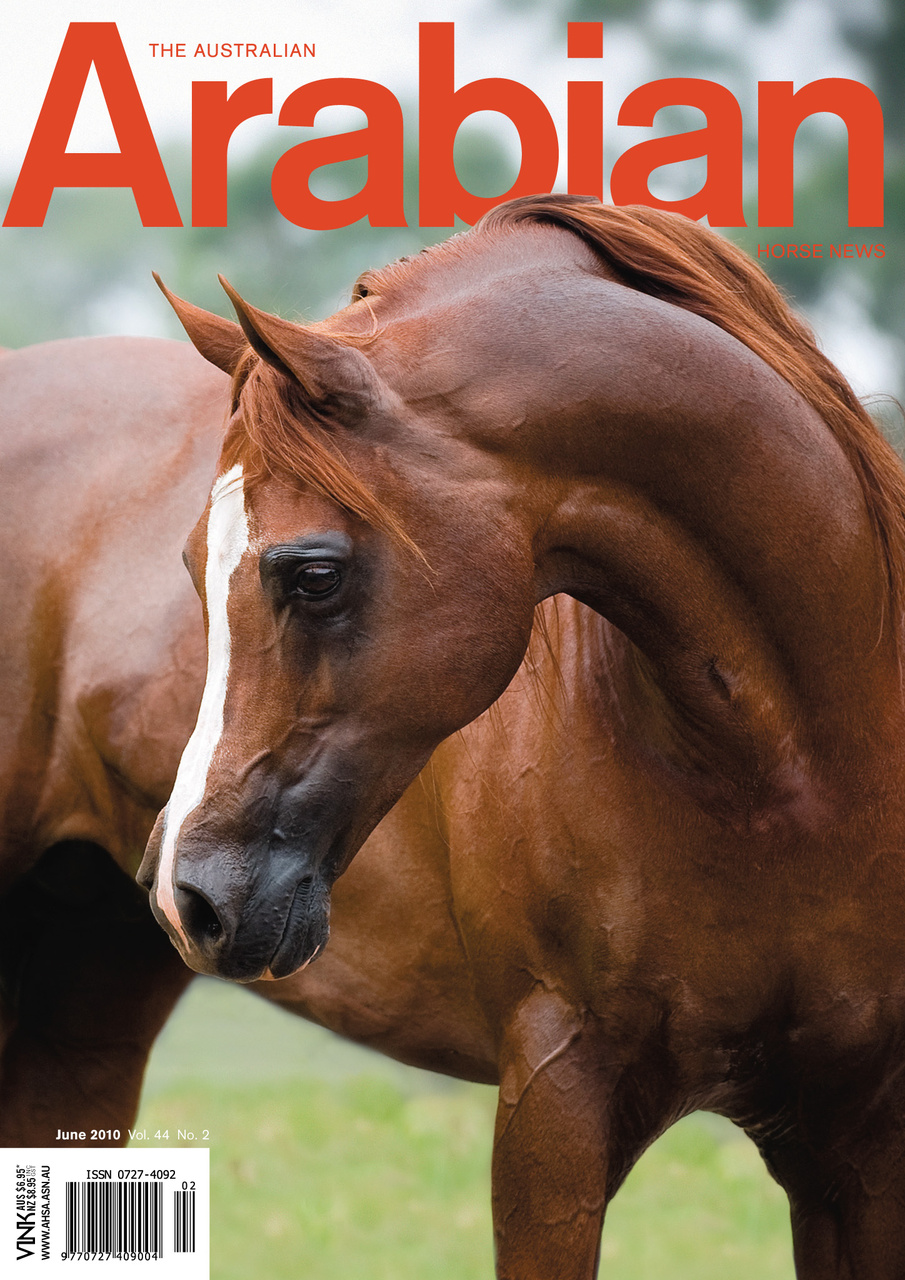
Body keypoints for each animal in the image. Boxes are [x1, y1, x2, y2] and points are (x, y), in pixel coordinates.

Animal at [4, 194, 905, 1277]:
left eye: (313, 573)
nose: (190, 892)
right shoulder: (554, 1101)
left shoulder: (855, 1136)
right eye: (189, 565)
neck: (791, 767)